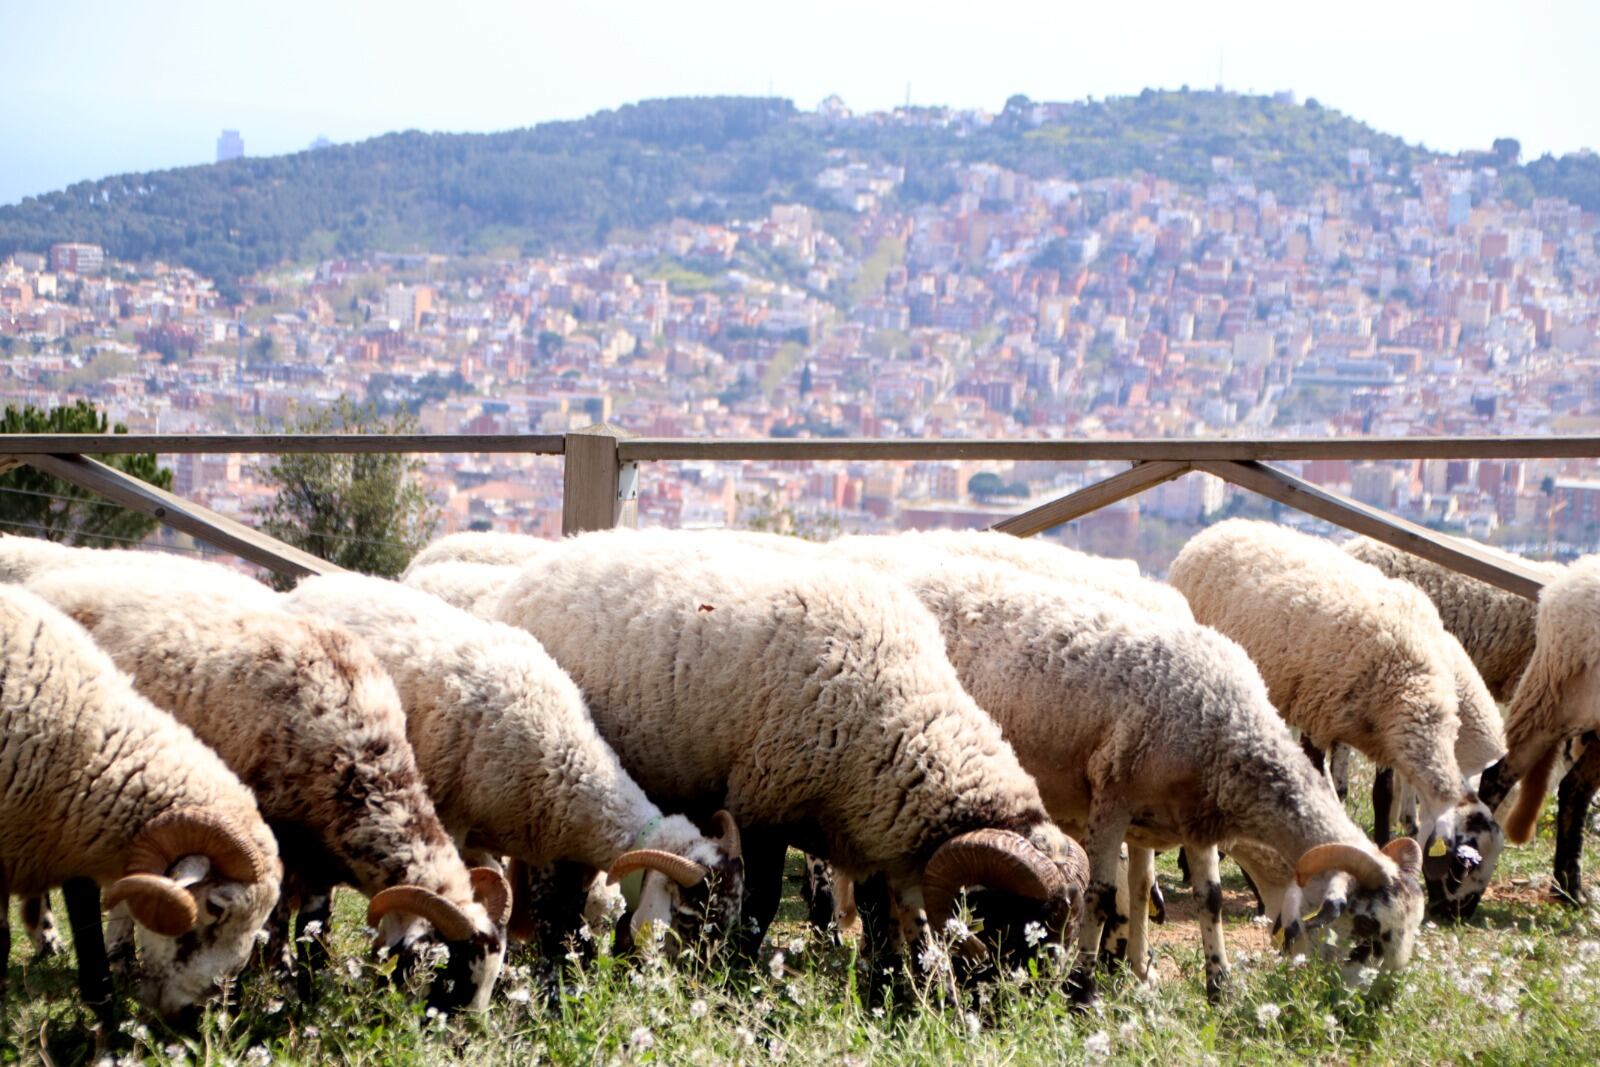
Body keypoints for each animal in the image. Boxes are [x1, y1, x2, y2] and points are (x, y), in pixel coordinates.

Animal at [22, 565, 512, 1012]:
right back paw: (76, 948)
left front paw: (308, 993)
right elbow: (274, 929)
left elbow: (316, 931)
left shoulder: (318, 863)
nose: (464, 1040)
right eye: (446, 971)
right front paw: (274, 984)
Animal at [282, 572, 743, 964]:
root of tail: (314, 582)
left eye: (731, 913)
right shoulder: (451, 822)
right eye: (689, 916)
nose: (702, 976)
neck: (562, 758)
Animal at [492, 528, 1090, 980]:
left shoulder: (870, 827)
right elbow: (760, 903)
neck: (900, 713)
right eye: (1020, 916)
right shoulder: (762, 808)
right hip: (555, 777)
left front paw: (892, 990)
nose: (1039, 1001)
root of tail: (548, 560)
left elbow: (880, 919)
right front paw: (734, 977)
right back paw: (565, 965)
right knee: (558, 884)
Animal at [817, 537, 1424, 997]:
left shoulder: (1193, 817)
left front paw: (1218, 988)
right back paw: (874, 950)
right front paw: (1083, 990)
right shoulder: (1110, 798)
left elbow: (1206, 899)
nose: (1371, 1008)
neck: (1228, 725)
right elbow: (1104, 894)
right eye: (1366, 933)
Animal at [1168, 519, 1504, 921]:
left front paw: (1386, 847)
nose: (1459, 915)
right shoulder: (1318, 715)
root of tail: (1221, 527)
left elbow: (1383, 792)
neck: (1417, 681)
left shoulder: (1385, 732)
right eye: (1463, 864)